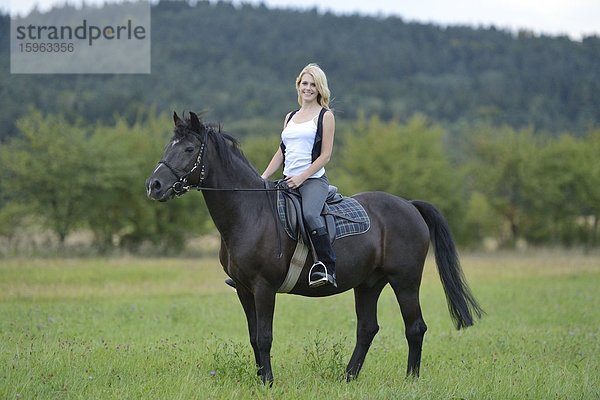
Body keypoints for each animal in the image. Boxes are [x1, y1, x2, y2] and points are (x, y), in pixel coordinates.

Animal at [145, 111, 482, 384]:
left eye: (189, 149)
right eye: (167, 147)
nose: (154, 186)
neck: (250, 212)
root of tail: (409, 205)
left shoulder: (264, 287)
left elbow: (265, 337)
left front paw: (268, 382)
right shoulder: (243, 288)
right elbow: (253, 337)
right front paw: (259, 379)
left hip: (405, 281)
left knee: (415, 327)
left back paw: (410, 379)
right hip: (369, 284)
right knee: (367, 329)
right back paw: (348, 378)